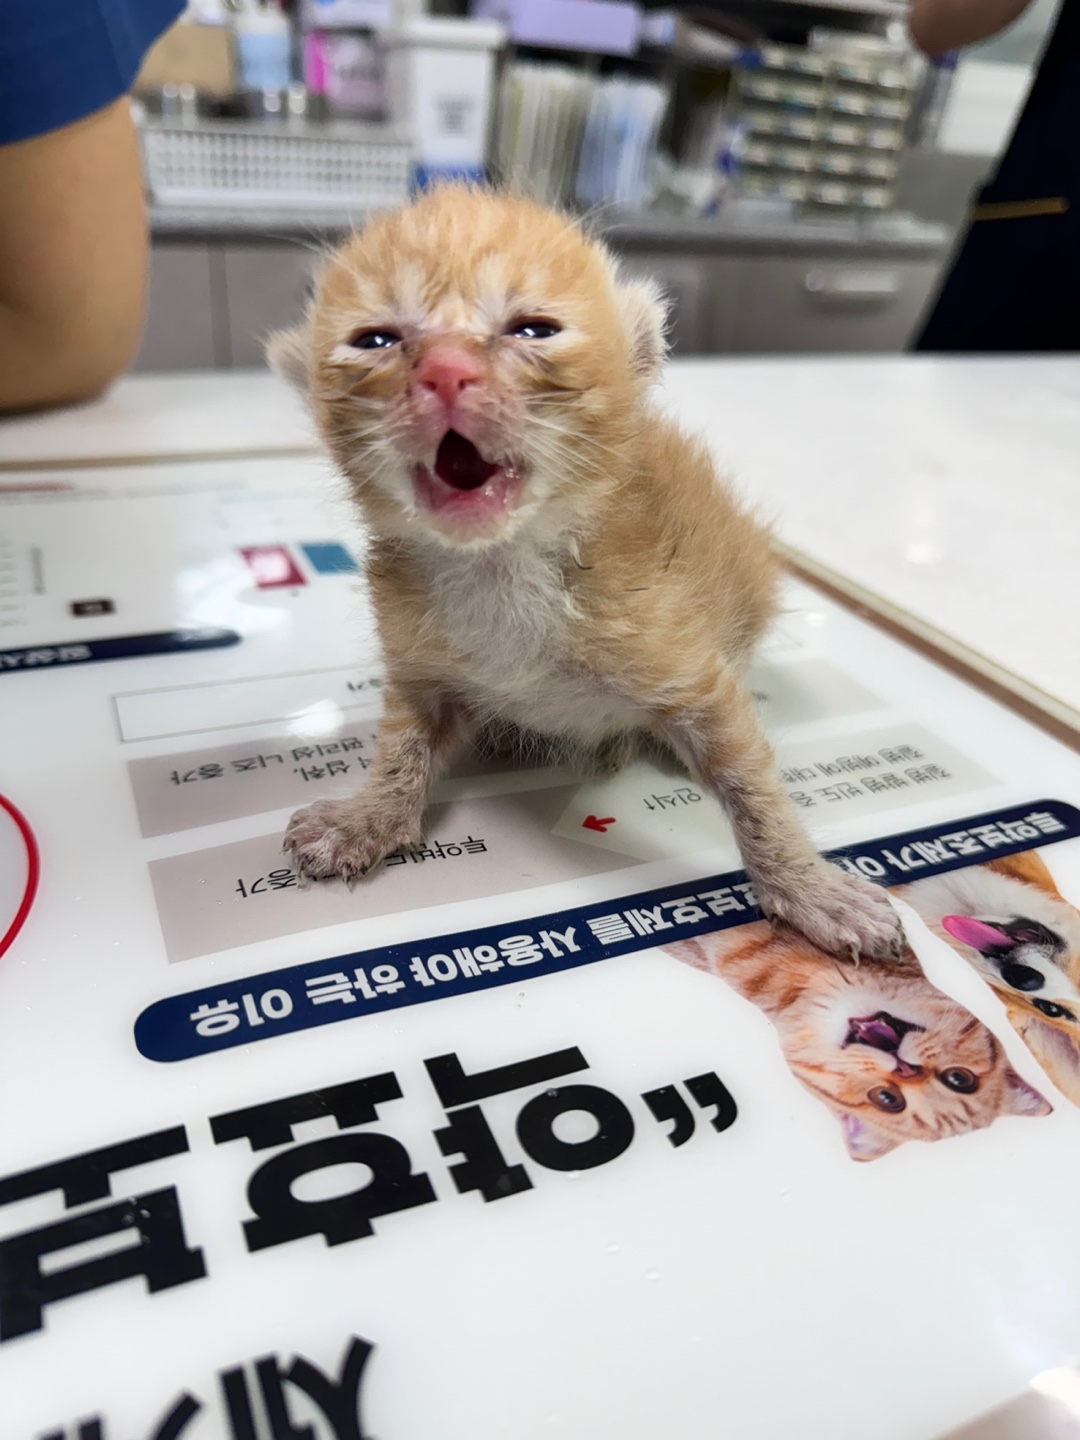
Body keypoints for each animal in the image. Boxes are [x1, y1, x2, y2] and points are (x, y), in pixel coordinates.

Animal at [269, 185, 904, 961]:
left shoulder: (692, 673)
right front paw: (368, 816)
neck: (503, 565)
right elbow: (402, 745)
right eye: (376, 341)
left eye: (533, 330)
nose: (445, 371)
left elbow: (753, 787)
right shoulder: (422, 668)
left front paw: (809, 887)